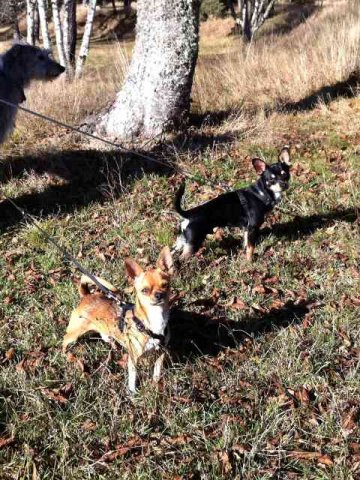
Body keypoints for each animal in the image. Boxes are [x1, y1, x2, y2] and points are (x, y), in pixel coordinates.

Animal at [63, 248, 174, 394]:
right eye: (144, 290)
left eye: (165, 285)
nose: (159, 295)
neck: (153, 321)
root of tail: (86, 296)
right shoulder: (133, 358)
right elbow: (133, 377)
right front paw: (133, 393)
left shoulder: (161, 353)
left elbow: (157, 370)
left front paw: (155, 384)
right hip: (76, 332)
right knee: (65, 339)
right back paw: (65, 354)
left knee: (105, 336)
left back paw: (113, 344)